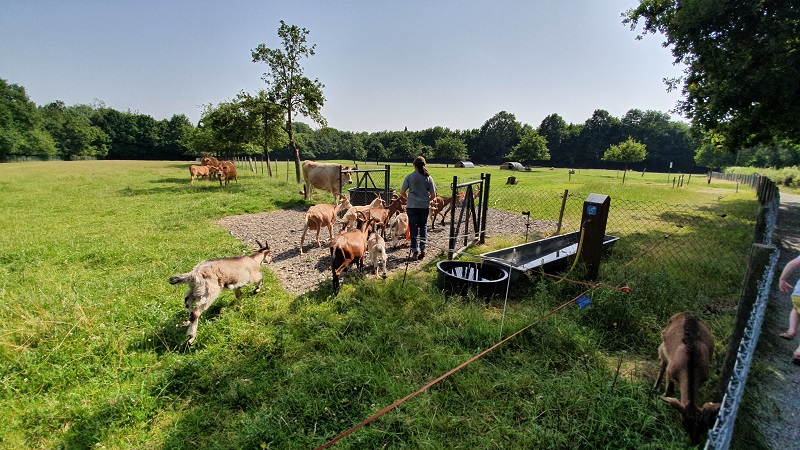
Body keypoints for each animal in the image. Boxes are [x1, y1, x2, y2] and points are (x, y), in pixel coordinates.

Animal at [652, 312, 720, 444]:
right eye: (683, 423)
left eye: (704, 425)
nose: (694, 441)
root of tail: (686, 313)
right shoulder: (671, 370)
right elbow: (669, 391)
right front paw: (662, 396)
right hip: (663, 342)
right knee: (662, 363)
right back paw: (655, 387)